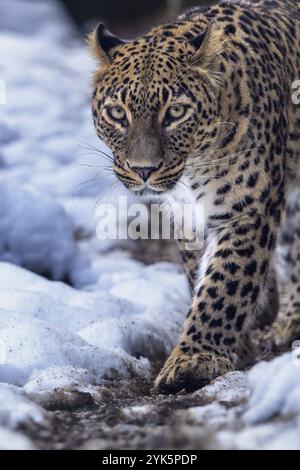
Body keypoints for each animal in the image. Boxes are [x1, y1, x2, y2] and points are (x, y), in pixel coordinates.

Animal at [87, 0, 300, 394]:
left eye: (175, 112)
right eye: (117, 113)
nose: (143, 170)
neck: (194, 168)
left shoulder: (246, 211)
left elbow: (224, 284)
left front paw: (195, 360)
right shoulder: (187, 217)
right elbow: (200, 276)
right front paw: (235, 344)